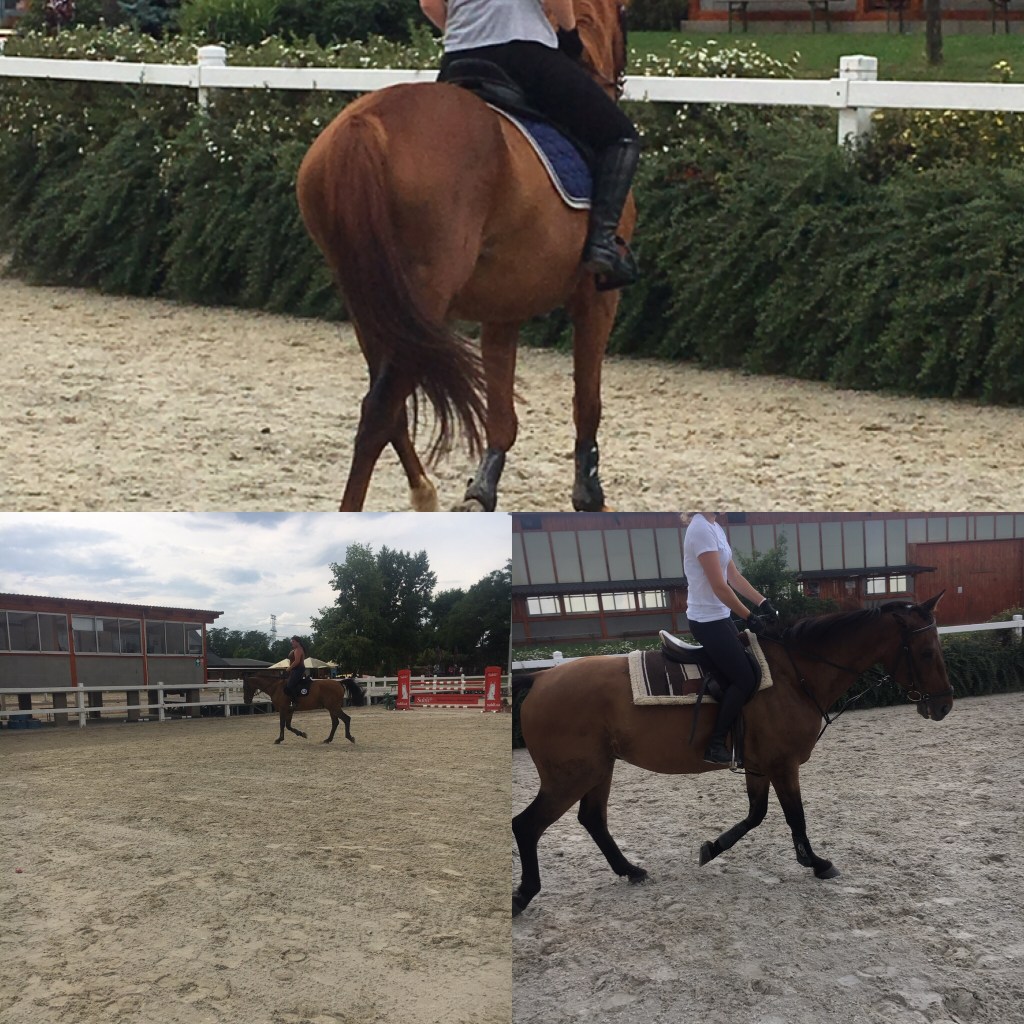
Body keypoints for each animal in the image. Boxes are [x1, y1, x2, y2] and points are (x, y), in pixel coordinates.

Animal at [296, 1, 632, 512]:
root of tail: (364, 125)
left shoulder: (504, 305)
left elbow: (501, 412)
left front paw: (481, 490)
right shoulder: (597, 298)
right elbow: (586, 402)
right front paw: (589, 494)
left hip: (370, 299)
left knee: (387, 407)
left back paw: (424, 491)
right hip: (422, 294)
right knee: (379, 411)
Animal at [512, 594, 954, 916]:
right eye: (927, 652)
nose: (944, 704)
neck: (795, 673)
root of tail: (542, 677)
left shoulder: (760, 765)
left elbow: (756, 815)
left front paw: (712, 848)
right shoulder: (783, 765)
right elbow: (795, 817)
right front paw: (816, 863)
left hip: (597, 770)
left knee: (592, 820)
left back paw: (631, 870)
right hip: (571, 776)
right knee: (526, 825)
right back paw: (524, 894)